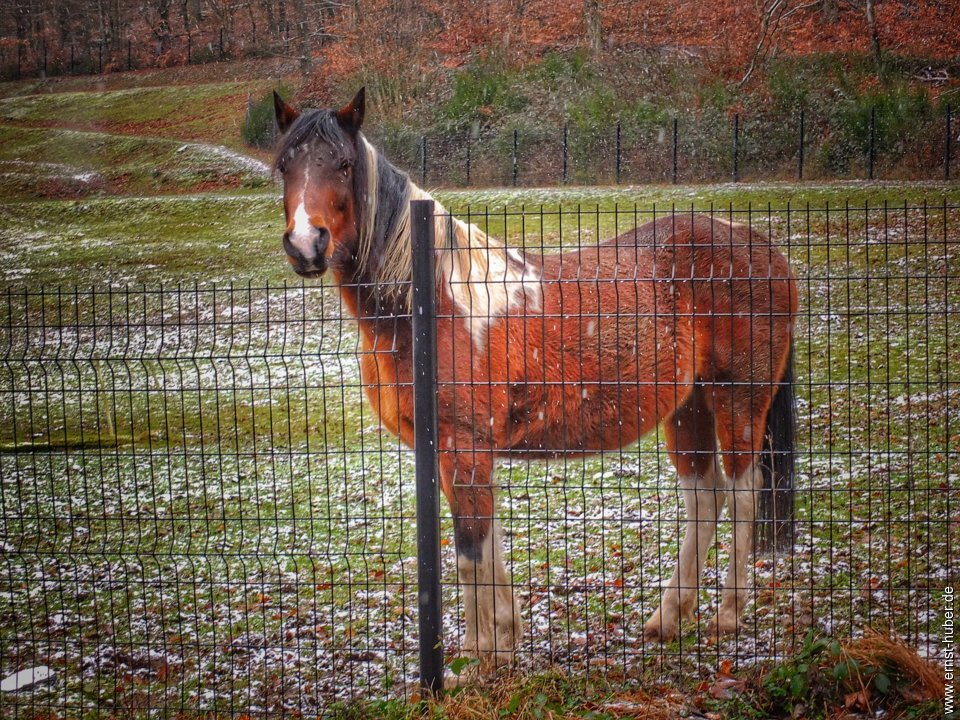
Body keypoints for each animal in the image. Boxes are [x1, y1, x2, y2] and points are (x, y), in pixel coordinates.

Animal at [274, 90, 800, 676]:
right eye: (284, 166)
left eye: (344, 165)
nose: (306, 244)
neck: (431, 302)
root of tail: (759, 244)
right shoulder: (454, 453)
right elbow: (487, 543)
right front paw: (504, 637)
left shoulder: (464, 445)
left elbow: (469, 550)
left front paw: (481, 655)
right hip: (688, 410)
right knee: (705, 500)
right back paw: (667, 618)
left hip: (738, 402)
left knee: (744, 493)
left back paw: (727, 615)